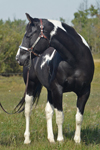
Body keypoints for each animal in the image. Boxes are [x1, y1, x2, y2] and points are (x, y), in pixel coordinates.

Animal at [15, 13, 94, 144]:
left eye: (29, 35)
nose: (18, 58)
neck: (76, 59)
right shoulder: (58, 89)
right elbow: (60, 116)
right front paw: (61, 140)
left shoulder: (84, 91)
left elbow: (79, 117)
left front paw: (77, 140)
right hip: (30, 85)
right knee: (27, 111)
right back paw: (27, 139)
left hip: (49, 90)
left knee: (48, 111)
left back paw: (51, 138)